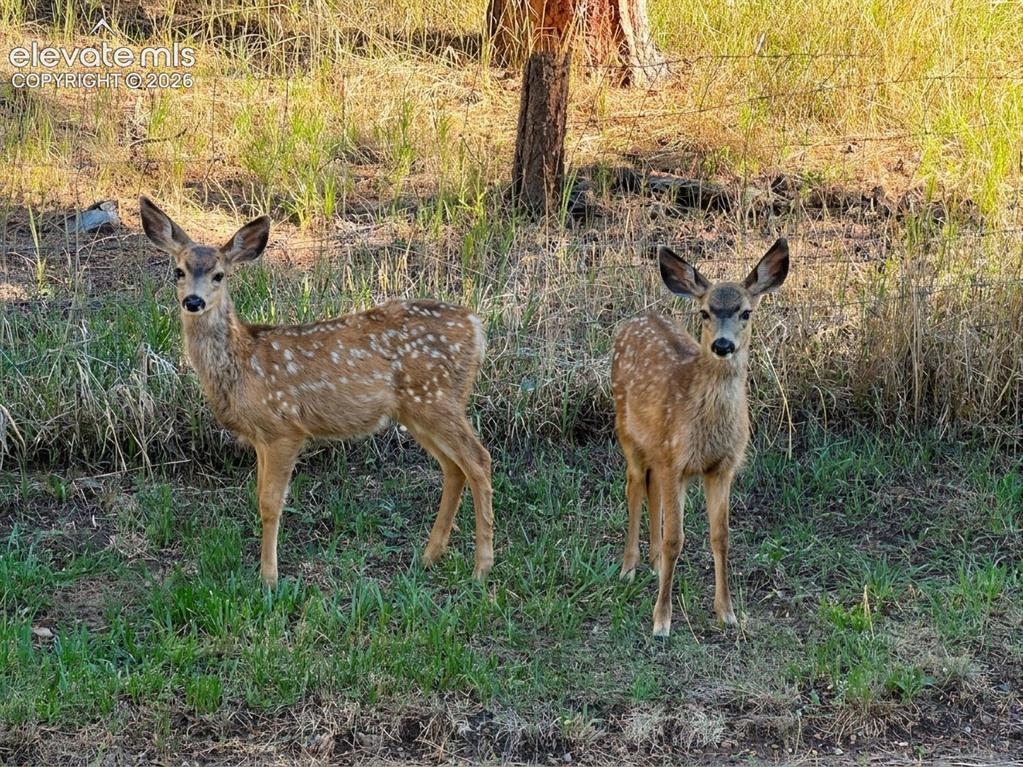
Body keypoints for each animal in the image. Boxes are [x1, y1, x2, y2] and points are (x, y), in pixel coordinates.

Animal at [138, 197, 494, 587]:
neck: (242, 364)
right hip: (419, 409)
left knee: (479, 460)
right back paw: (430, 556)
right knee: (454, 467)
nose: (193, 302)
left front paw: (268, 577)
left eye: (219, 275)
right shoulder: (260, 438)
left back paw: (482, 567)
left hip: (437, 399)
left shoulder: (284, 429)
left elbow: (270, 502)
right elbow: (257, 495)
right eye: (179, 271)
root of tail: (476, 327)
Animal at [611, 238, 789, 638]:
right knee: (633, 485)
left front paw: (727, 612)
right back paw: (628, 567)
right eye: (706, 312)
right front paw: (661, 621)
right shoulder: (675, 461)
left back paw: (653, 564)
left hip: (657, 451)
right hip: (625, 430)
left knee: (651, 490)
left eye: (746, 312)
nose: (722, 345)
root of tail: (633, 320)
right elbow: (676, 539)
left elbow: (720, 536)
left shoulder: (721, 467)